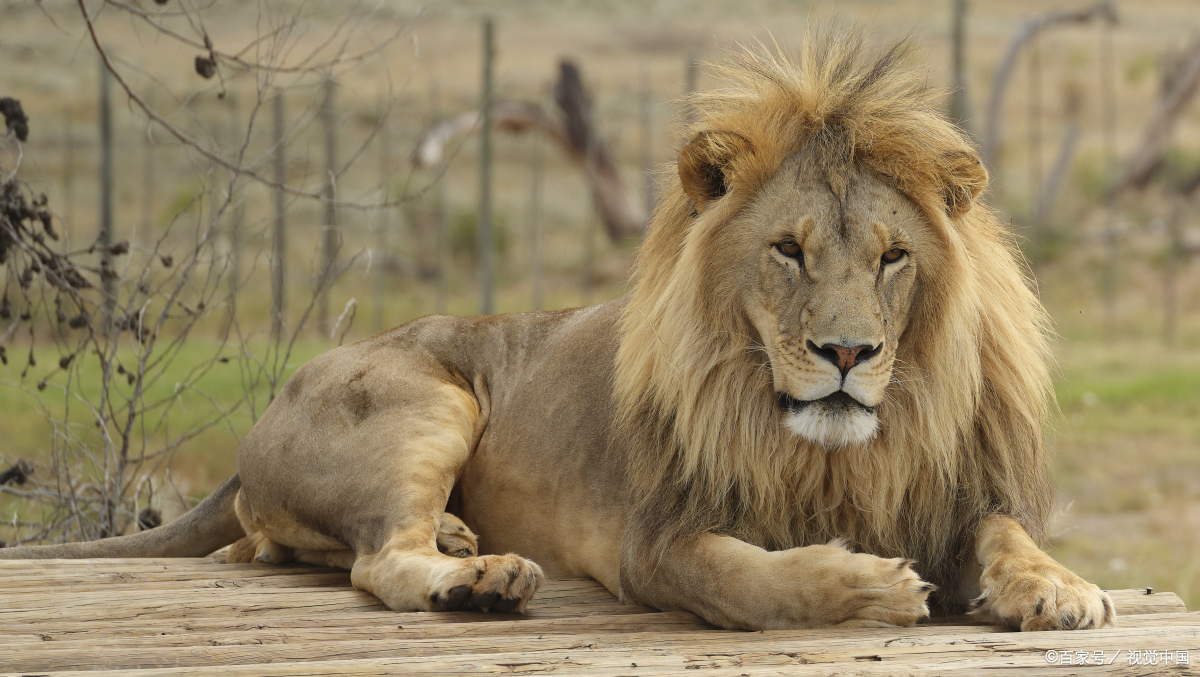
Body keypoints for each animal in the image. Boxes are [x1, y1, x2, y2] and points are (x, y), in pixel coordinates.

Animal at [0, 31, 1113, 633]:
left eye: (892, 257)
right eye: (788, 251)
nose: (848, 355)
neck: (835, 453)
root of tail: (261, 422)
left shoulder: (957, 490)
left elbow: (1009, 533)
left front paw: (1063, 588)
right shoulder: (654, 537)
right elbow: (749, 577)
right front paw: (866, 583)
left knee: (295, 546)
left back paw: (460, 541)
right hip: (424, 397)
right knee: (376, 560)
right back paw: (479, 575)